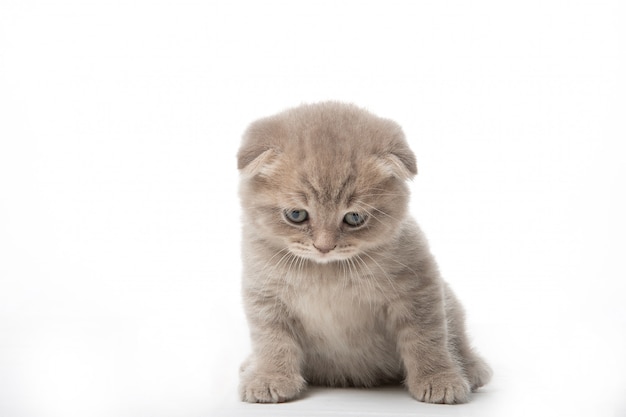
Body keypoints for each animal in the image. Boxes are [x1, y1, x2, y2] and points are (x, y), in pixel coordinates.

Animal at [236, 101, 490, 404]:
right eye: (296, 215)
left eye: (354, 218)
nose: (324, 246)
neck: (325, 272)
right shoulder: (265, 295)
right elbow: (271, 339)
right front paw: (269, 378)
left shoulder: (418, 287)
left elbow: (427, 336)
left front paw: (439, 379)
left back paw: (472, 368)